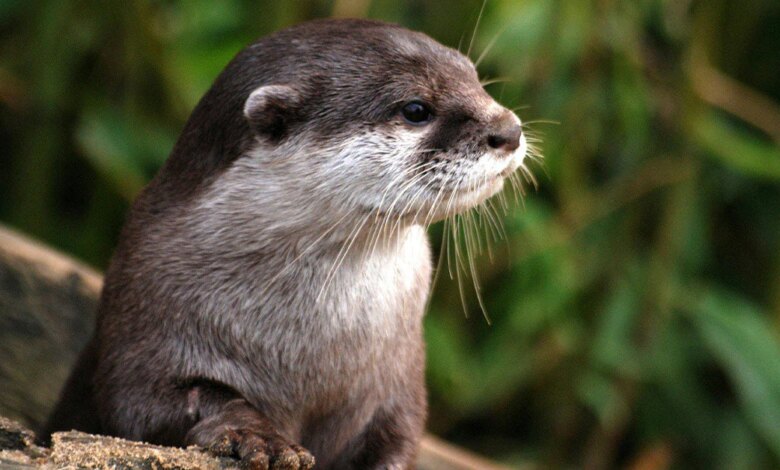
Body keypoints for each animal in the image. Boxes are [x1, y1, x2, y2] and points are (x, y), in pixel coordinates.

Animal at [44, 18, 527, 470]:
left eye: (474, 78)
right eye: (415, 109)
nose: (509, 129)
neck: (309, 351)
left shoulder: (398, 383)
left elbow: (400, 436)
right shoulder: (143, 318)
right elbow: (149, 403)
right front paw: (257, 436)